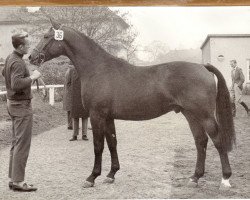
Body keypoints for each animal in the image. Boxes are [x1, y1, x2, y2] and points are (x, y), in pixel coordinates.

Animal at [29, 18, 234, 189]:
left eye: (46, 36)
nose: (31, 57)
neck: (98, 69)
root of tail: (203, 67)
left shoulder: (97, 115)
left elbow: (98, 145)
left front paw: (92, 177)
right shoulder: (108, 117)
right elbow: (112, 142)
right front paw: (111, 174)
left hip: (204, 115)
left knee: (217, 140)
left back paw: (225, 179)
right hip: (190, 114)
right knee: (201, 141)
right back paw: (195, 177)